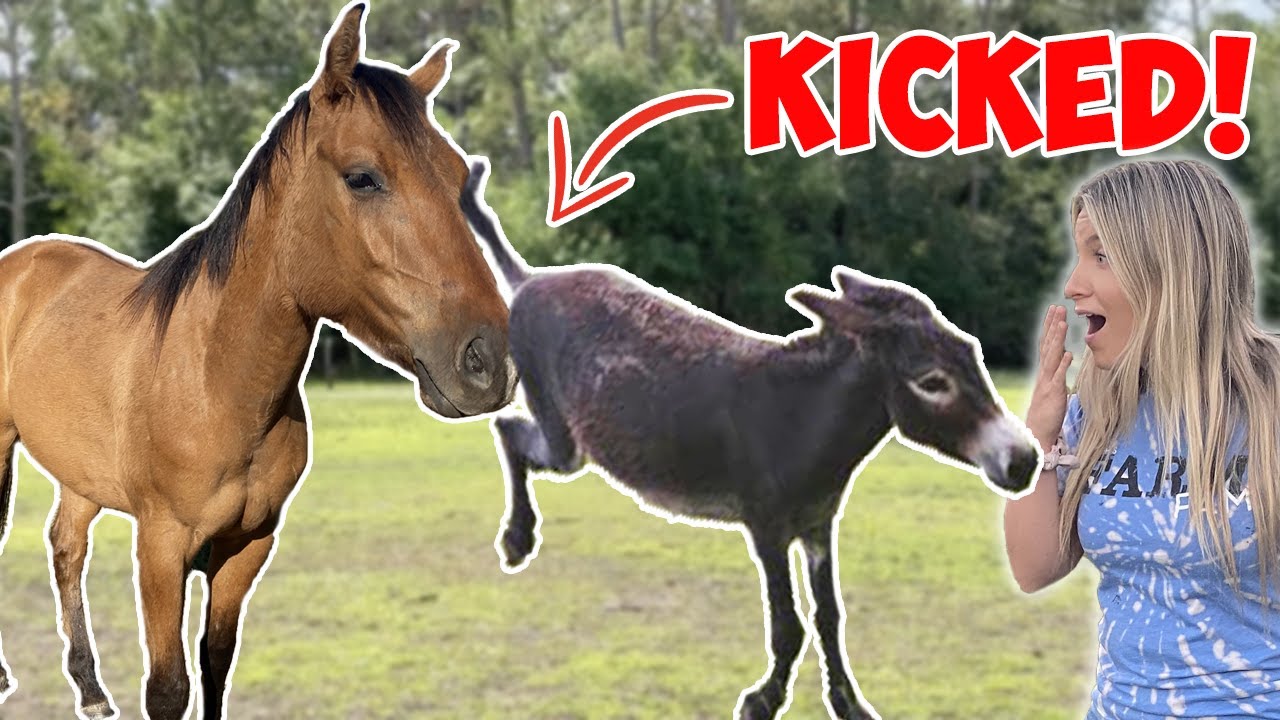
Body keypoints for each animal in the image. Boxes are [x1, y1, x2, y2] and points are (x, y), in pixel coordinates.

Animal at [0, 4, 515, 719]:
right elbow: (169, 687)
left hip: (81, 472)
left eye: (459, 175)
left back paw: (90, 688)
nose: (487, 361)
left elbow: (215, 663)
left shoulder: (248, 547)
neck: (215, 380)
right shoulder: (160, 548)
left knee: (66, 545)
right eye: (362, 176)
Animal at [459, 160, 1038, 720]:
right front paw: (764, 700)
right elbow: (788, 627)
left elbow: (828, 616)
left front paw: (847, 702)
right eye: (932, 382)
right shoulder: (767, 529)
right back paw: (517, 539)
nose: (1025, 461)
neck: (803, 419)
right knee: (507, 430)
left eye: (973, 352)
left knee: (509, 433)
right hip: (565, 440)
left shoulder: (818, 525)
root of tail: (531, 279)